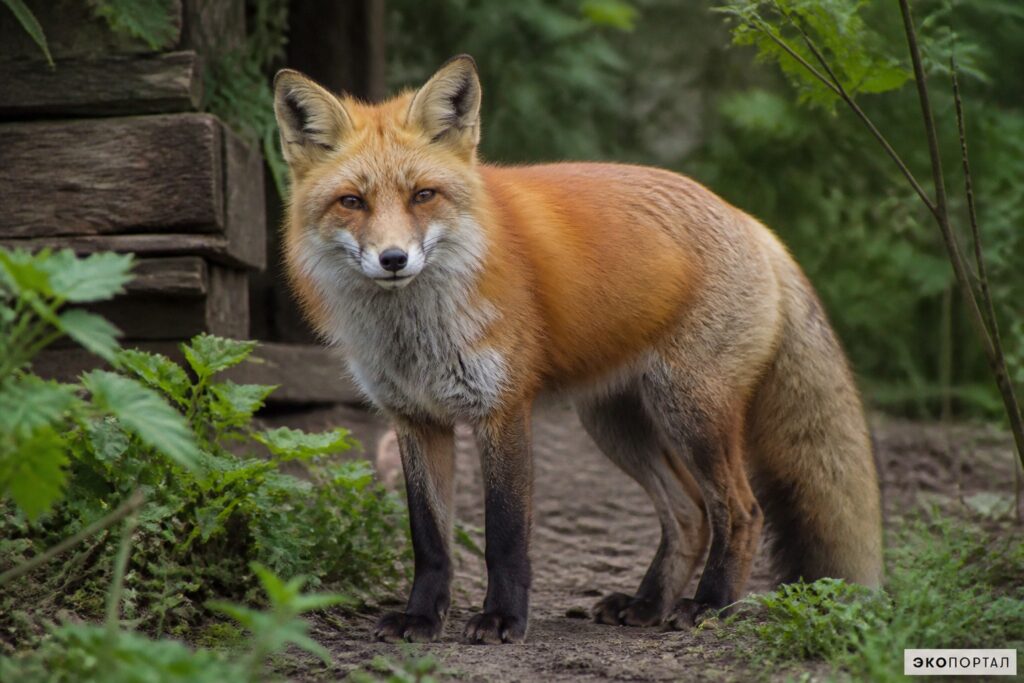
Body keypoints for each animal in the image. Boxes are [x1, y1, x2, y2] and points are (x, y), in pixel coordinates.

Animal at [272, 55, 883, 645]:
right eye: (352, 201)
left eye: (423, 195)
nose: (394, 259)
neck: (415, 333)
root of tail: (752, 223)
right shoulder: (415, 418)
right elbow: (429, 539)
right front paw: (420, 619)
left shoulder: (503, 409)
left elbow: (505, 536)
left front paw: (502, 619)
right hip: (616, 425)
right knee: (689, 513)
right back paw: (646, 605)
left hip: (692, 413)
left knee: (741, 510)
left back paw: (709, 606)